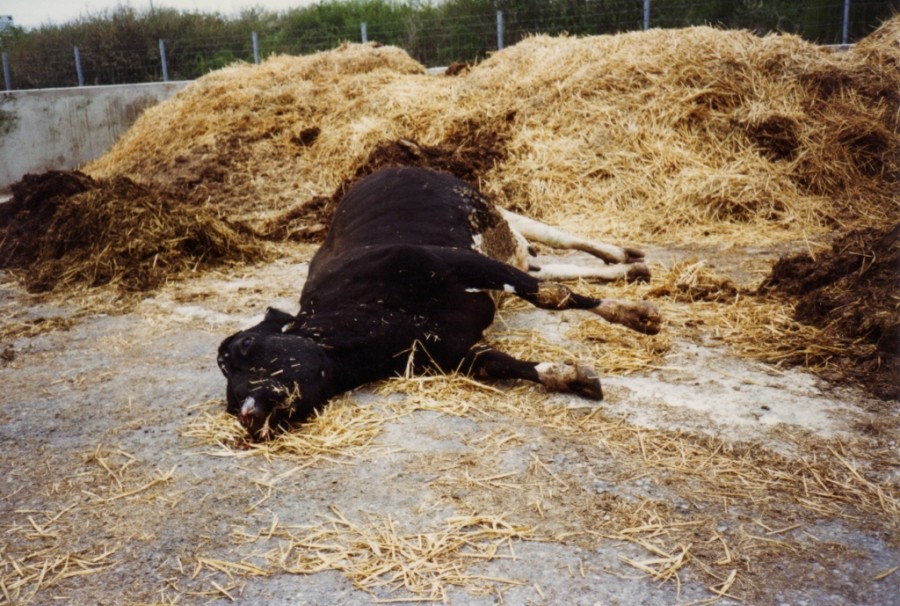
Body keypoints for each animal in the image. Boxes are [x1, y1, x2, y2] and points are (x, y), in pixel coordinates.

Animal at [218, 167, 660, 440]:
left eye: (246, 345)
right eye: (230, 400)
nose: (247, 414)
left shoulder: (452, 261)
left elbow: (552, 298)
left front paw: (635, 316)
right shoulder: (448, 349)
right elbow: (507, 363)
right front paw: (572, 377)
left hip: (503, 217)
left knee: (564, 243)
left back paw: (626, 256)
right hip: (514, 248)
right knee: (553, 268)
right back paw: (630, 270)